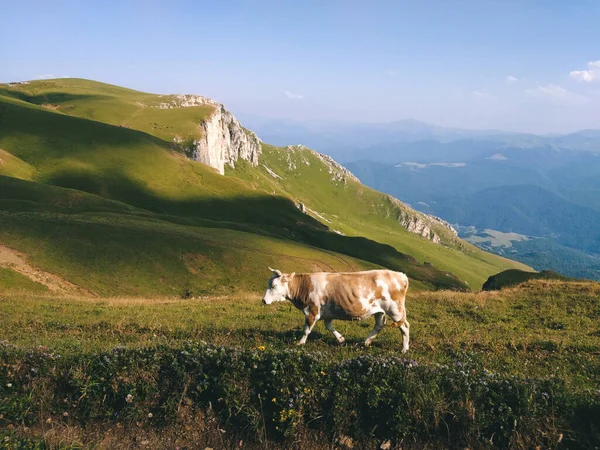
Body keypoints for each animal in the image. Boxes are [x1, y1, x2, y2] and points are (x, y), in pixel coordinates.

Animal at [260, 268, 410, 352]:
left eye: (274, 285)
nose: (264, 300)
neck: (304, 286)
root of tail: (400, 275)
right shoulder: (328, 313)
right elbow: (329, 326)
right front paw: (341, 339)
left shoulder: (312, 310)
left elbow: (306, 329)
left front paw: (300, 342)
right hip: (379, 310)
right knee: (379, 325)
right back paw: (366, 342)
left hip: (395, 309)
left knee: (405, 327)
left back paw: (404, 349)